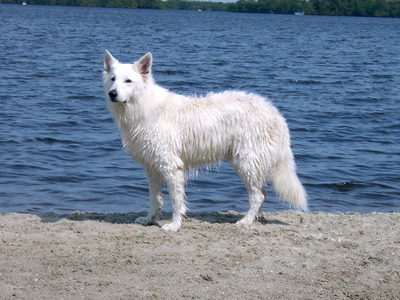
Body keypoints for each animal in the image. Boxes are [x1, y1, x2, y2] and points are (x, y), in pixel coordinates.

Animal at [102, 50, 306, 231]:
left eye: (128, 81)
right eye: (113, 79)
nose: (112, 93)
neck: (143, 105)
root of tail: (274, 112)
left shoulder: (171, 167)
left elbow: (176, 201)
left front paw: (174, 226)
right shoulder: (152, 167)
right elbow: (155, 199)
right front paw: (148, 219)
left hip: (246, 163)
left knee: (259, 196)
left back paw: (245, 222)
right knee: (262, 194)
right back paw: (252, 219)